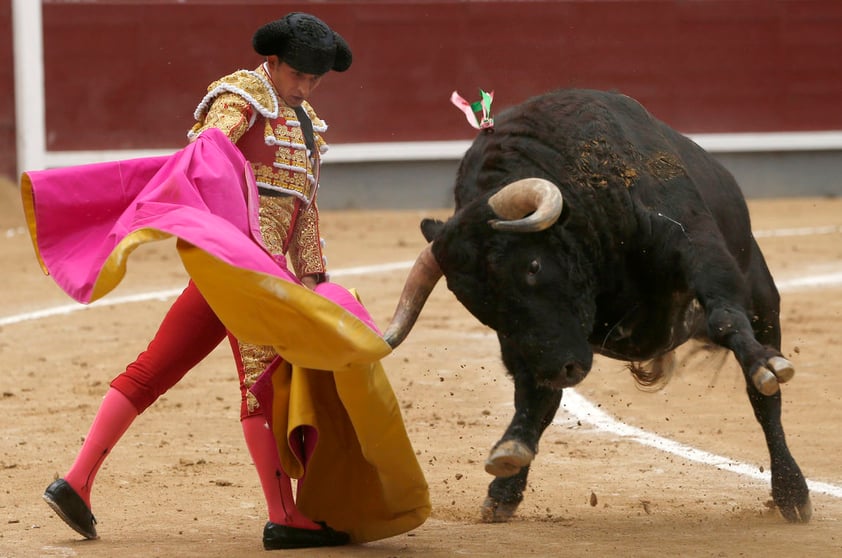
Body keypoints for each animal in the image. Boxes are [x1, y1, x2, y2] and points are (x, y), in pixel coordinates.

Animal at [380, 87, 808, 524]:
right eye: (479, 306)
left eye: (533, 266)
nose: (563, 369)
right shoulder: (528, 344)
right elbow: (533, 392)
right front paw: (510, 456)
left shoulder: (693, 243)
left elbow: (726, 318)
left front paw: (766, 364)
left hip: (762, 298)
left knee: (764, 401)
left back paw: (792, 491)